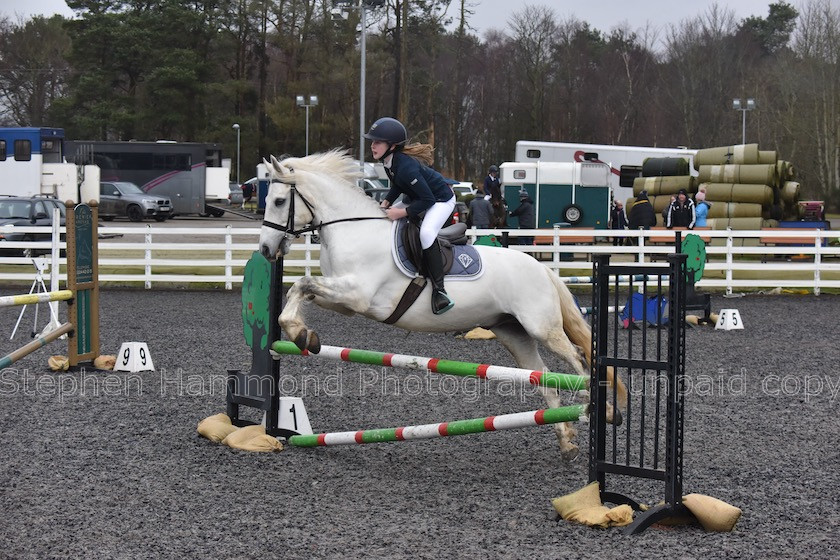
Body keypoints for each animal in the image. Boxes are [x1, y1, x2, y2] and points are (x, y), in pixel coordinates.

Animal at [260, 150, 628, 460]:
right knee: (545, 376)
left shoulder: (357, 294)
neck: (354, 230)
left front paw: (299, 332)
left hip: (541, 326)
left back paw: (600, 408)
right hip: (513, 333)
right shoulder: (346, 302)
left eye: (278, 200)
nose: (265, 249)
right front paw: (302, 334)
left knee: (578, 359)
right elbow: (301, 290)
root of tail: (542, 269)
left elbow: (303, 284)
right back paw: (566, 441)